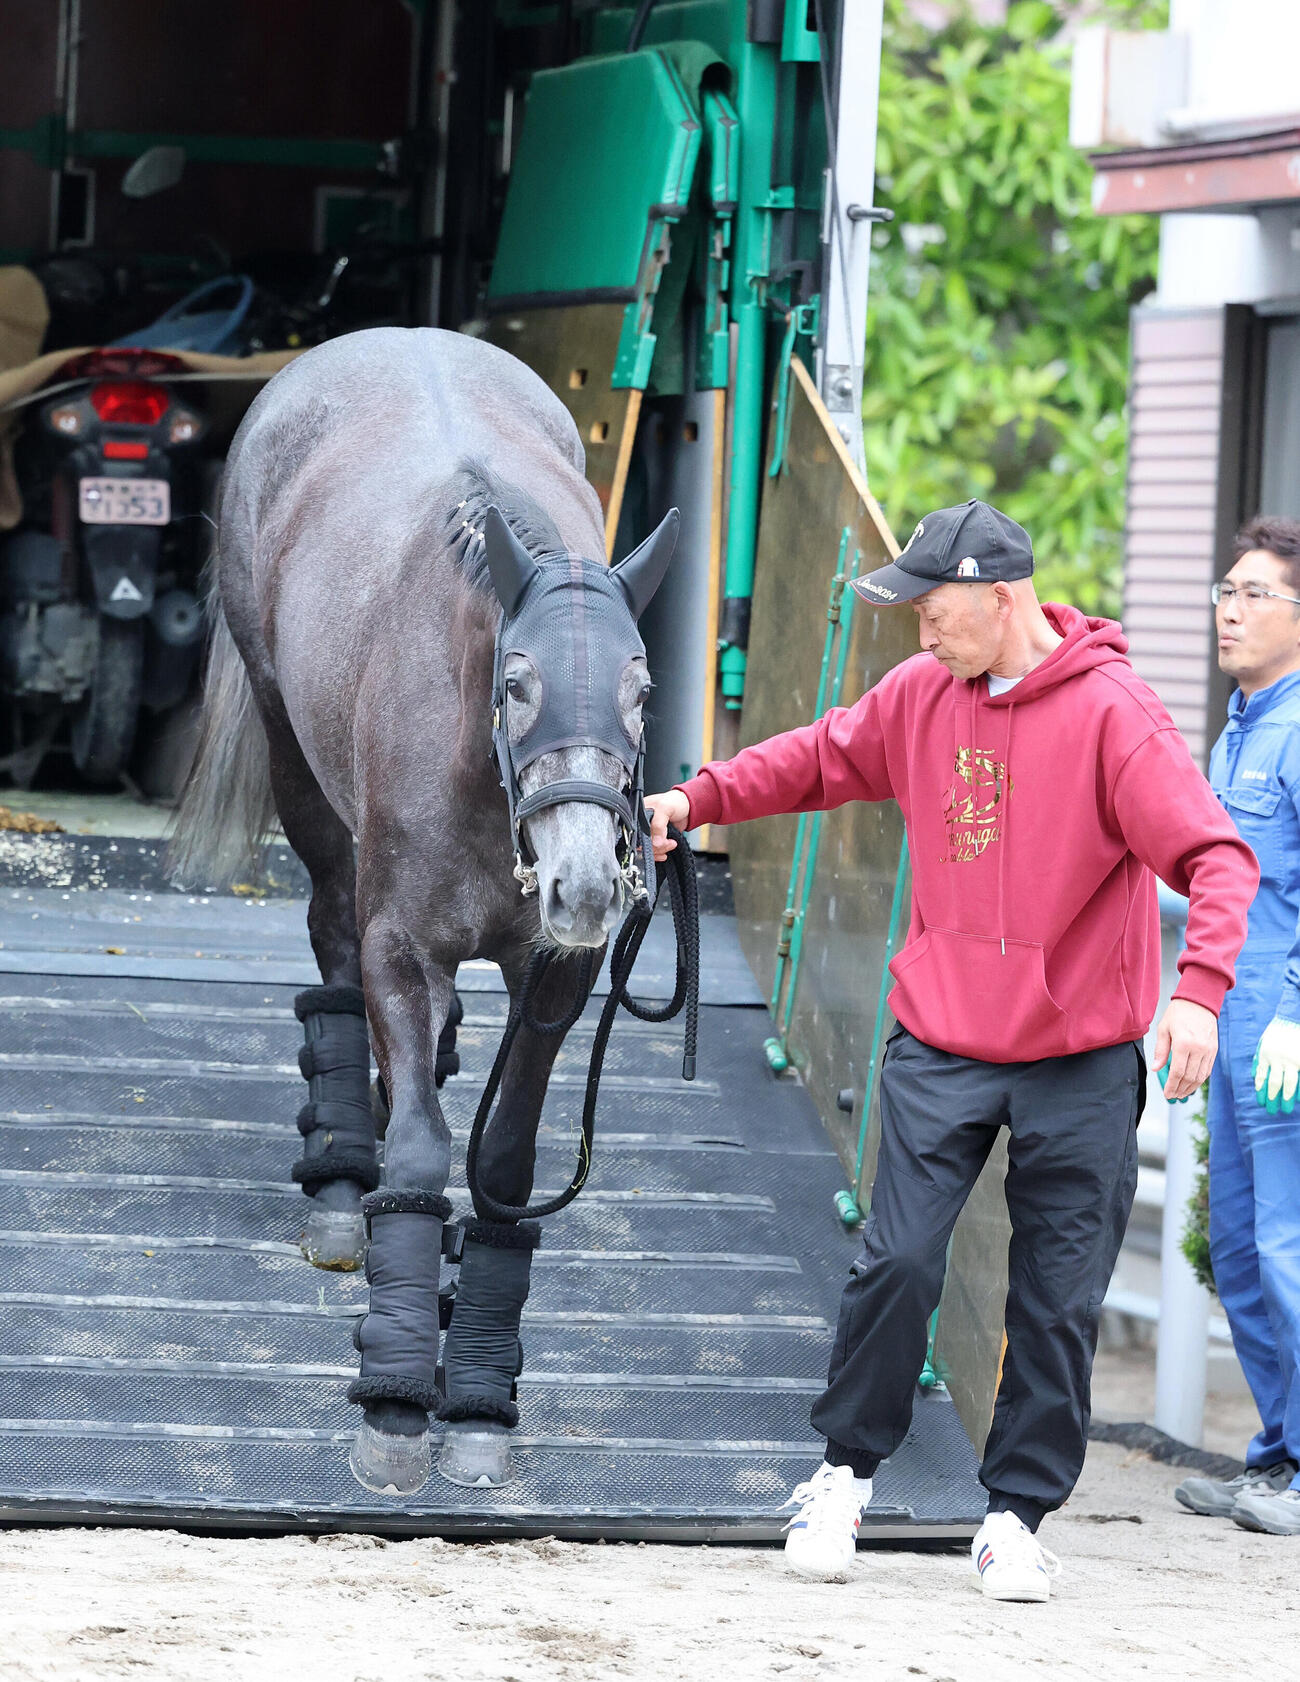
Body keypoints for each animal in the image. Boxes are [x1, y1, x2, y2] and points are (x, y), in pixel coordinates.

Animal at [170, 326, 678, 1494]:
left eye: (640, 689)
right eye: (518, 682)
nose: (588, 884)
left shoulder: (552, 977)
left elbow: (499, 1166)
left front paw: (479, 1397)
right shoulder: (400, 948)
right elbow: (414, 1151)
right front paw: (399, 1405)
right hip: (298, 771)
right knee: (332, 945)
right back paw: (338, 1189)